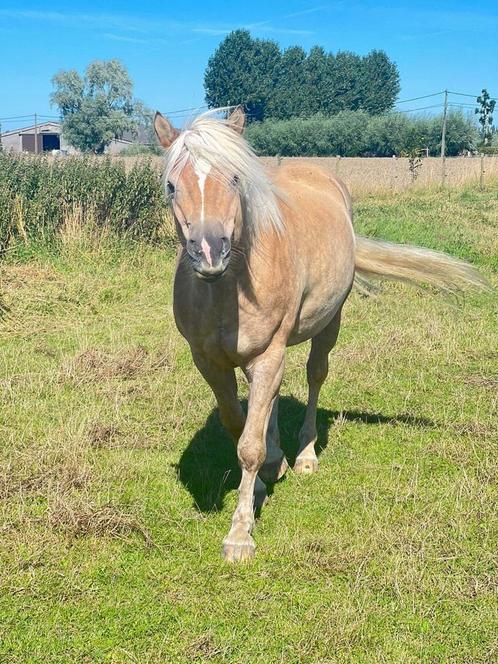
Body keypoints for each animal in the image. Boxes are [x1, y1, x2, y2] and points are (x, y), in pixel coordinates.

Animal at [153, 106, 486, 564]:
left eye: (236, 178)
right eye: (172, 186)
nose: (209, 253)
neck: (227, 288)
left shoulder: (268, 354)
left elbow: (249, 446)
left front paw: (240, 534)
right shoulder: (209, 362)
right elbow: (237, 425)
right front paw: (260, 485)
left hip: (329, 323)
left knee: (314, 376)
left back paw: (304, 456)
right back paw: (278, 458)